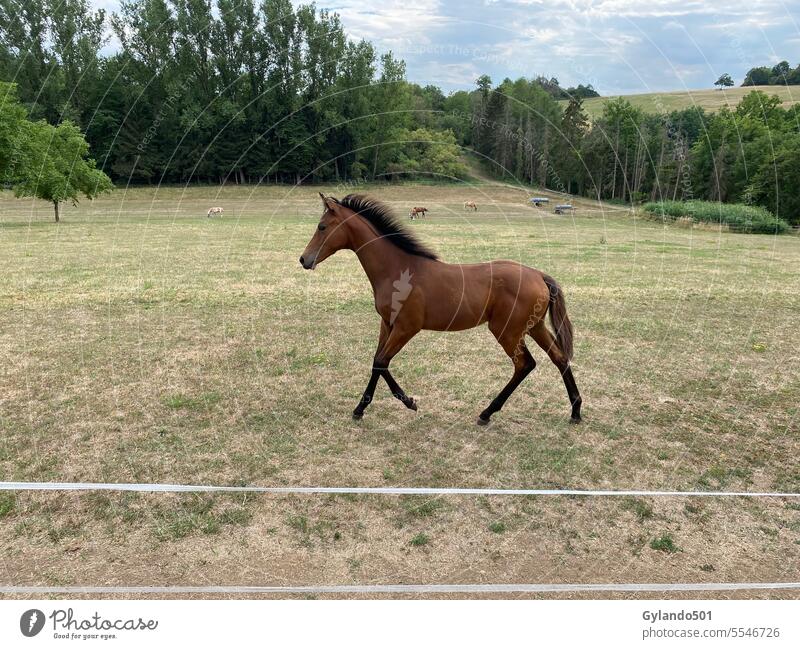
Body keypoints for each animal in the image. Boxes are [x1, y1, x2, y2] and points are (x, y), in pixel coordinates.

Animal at [300, 192, 580, 426]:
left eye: (322, 226)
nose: (304, 259)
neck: (397, 269)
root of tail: (539, 275)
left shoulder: (406, 328)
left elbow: (381, 362)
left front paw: (407, 402)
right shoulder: (387, 324)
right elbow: (377, 362)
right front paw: (363, 408)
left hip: (507, 331)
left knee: (525, 365)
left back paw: (487, 413)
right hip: (534, 327)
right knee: (559, 358)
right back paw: (576, 411)